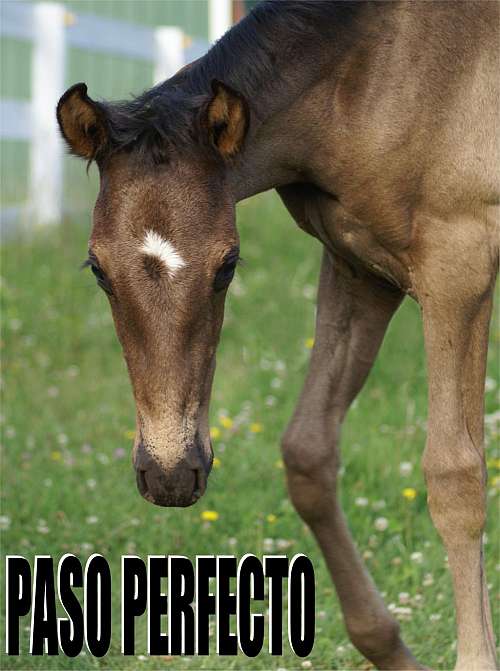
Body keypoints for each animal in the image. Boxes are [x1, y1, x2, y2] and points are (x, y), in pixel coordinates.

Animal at [56, 1, 499, 668]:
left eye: (228, 265)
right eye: (98, 269)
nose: (169, 476)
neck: (380, 75)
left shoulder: (459, 272)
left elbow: (455, 477)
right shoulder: (360, 269)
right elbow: (308, 452)